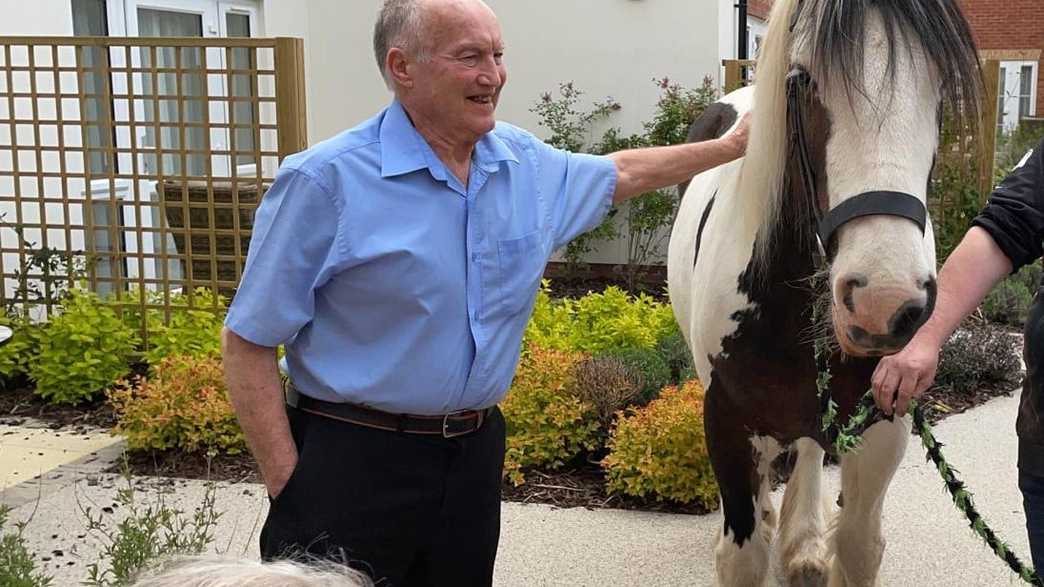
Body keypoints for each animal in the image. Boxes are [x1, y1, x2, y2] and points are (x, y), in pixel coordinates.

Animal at [668, 0, 977, 580]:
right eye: (803, 79)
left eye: (942, 81)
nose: (884, 301)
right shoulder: (725, 419)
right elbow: (742, 552)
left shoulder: (883, 424)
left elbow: (857, 544)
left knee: (810, 448)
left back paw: (804, 543)